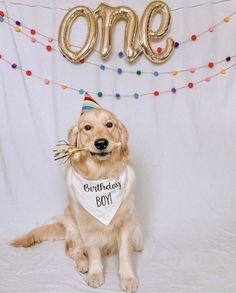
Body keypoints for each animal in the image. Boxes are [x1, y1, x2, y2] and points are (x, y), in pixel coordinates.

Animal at [11, 108, 143, 292]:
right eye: (87, 127)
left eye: (109, 124)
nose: (101, 143)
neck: (101, 175)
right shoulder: (87, 224)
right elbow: (93, 251)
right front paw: (95, 274)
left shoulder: (125, 222)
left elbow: (124, 252)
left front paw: (128, 278)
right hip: (74, 228)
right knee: (71, 249)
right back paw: (83, 263)